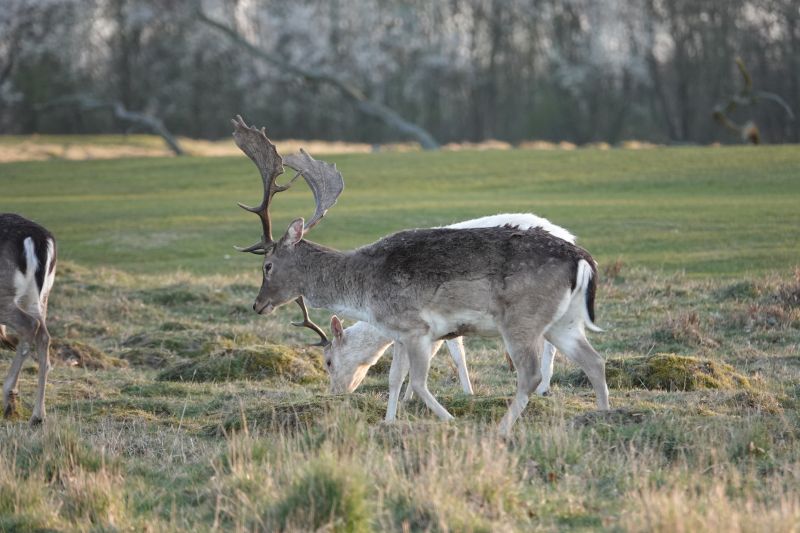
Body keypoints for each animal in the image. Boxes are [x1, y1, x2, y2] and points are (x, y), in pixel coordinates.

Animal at [0, 212, 56, 424]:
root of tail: (40, 240)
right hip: (40, 297)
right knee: (44, 334)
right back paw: (38, 415)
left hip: (5, 295)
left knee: (30, 325)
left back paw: (10, 398)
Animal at [322, 212, 580, 420]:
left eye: (329, 361)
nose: (336, 393)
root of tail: (569, 236)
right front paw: (410, 397)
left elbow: (455, 354)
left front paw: (467, 392)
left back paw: (544, 387)